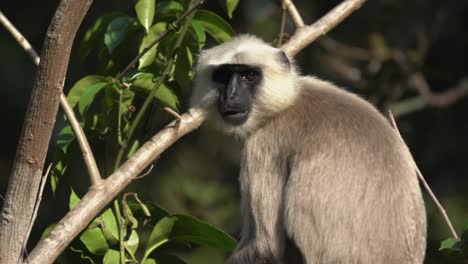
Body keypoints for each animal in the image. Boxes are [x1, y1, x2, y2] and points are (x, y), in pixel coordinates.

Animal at [189, 35, 424, 264]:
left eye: (248, 76)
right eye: (223, 76)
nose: (231, 95)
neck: (288, 103)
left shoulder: (264, 142)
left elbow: (265, 247)